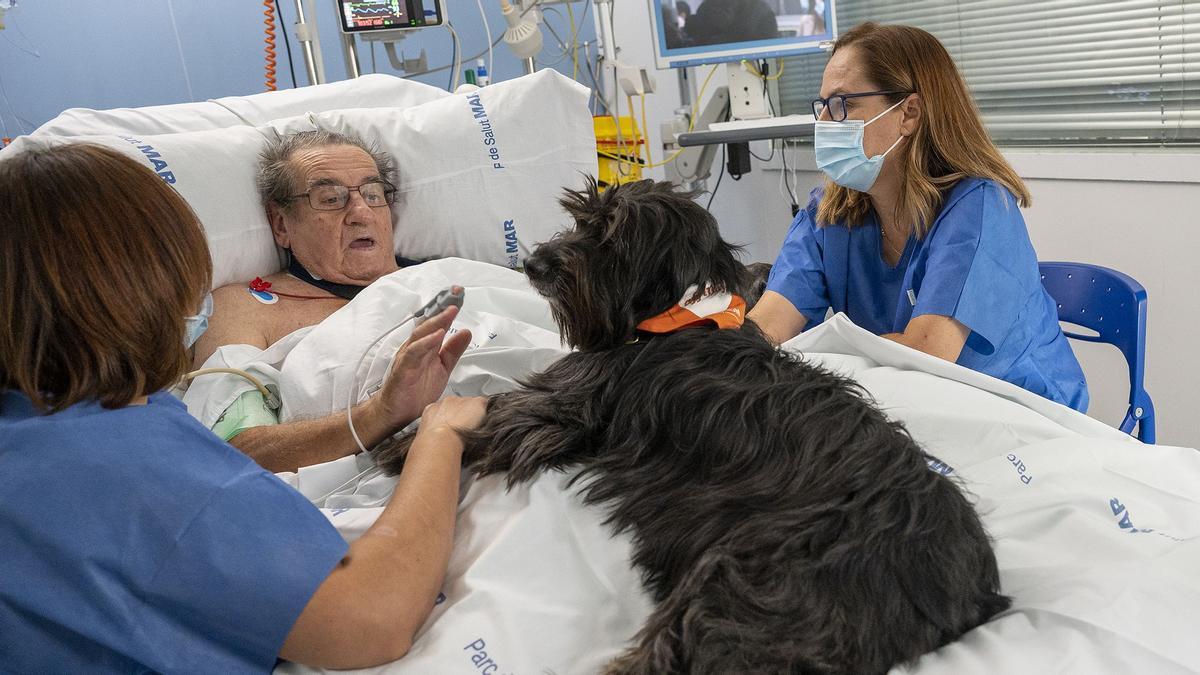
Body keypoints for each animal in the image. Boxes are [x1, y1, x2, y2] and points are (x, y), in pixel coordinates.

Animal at [372, 176, 1003, 667]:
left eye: (612, 234)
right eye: (580, 217)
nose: (532, 263)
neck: (677, 311)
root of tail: (962, 588)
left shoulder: (561, 403)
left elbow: (489, 411)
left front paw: (400, 445)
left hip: (747, 592)